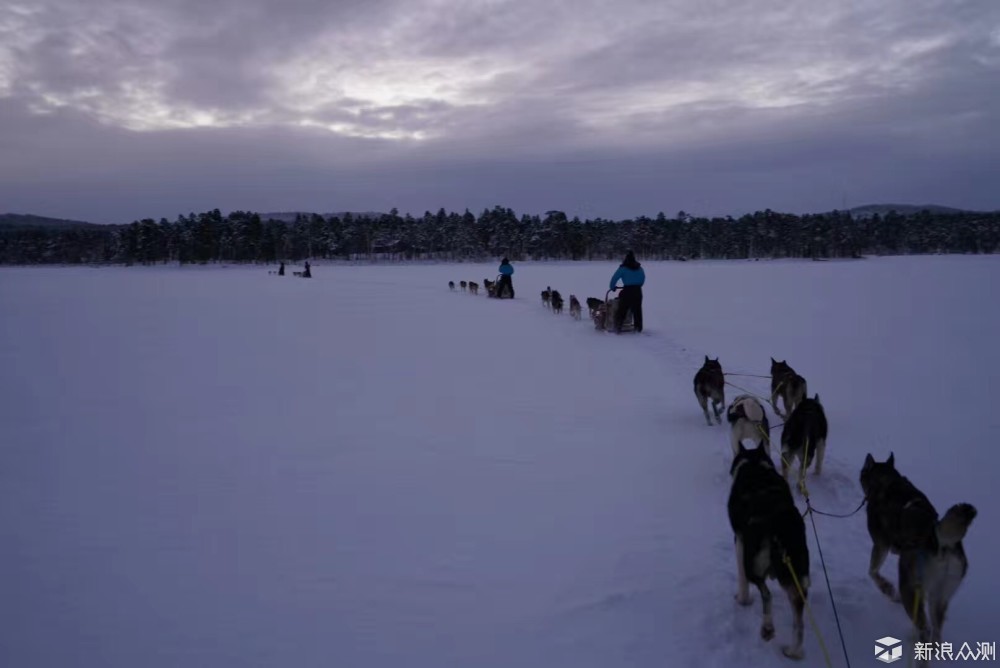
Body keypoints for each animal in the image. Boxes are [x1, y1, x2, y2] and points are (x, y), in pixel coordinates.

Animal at [732, 440, 808, 660]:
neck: (755, 465)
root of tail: (779, 523)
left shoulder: (739, 542)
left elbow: (742, 581)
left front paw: (743, 600)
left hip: (754, 565)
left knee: (766, 594)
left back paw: (767, 628)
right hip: (796, 574)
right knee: (799, 620)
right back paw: (793, 651)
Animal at [860, 454, 976, 648]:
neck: (888, 481)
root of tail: (941, 544)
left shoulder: (881, 545)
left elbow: (873, 572)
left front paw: (888, 589)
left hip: (909, 586)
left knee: (924, 628)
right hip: (938, 596)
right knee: (935, 633)